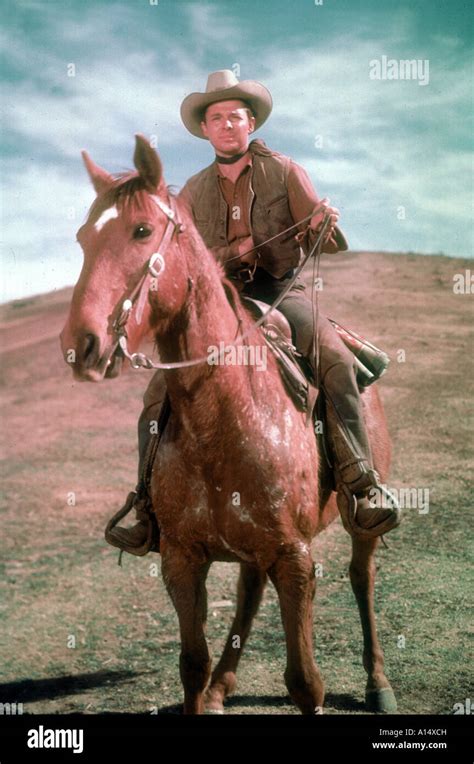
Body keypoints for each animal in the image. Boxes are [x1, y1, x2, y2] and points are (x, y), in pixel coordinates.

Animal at [61, 136, 398, 716]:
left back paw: (378, 682)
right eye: (84, 237)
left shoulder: (295, 559)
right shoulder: (182, 561)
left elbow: (305, 682)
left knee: (362, 578)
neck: (219, 421)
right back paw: (225, 683)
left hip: (358, 524)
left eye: (142, 230)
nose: (81, 343)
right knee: (248, 591)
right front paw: (209, 683)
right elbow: (191, 666)